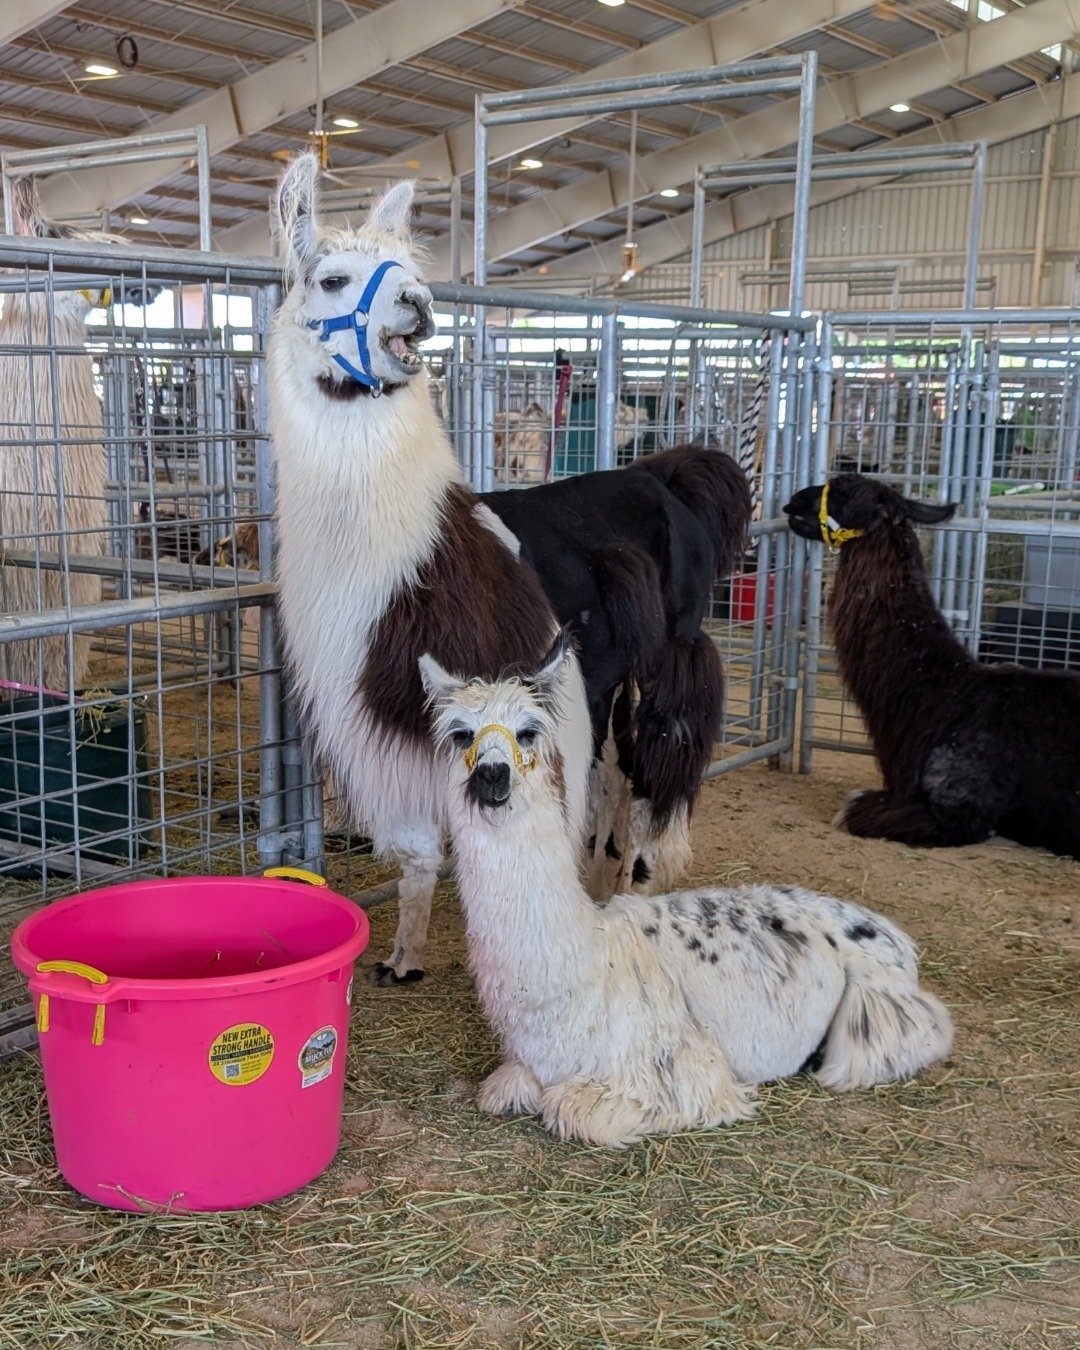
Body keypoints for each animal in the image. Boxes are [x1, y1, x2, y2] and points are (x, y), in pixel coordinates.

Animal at [419, 634, 953, 1148]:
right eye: (461, 734)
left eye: (528, 731)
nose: (491, 774)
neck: (583, 969)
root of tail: (892, 933)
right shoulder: (522, 1067)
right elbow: (506, 1088)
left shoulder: (681, 1072)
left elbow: (570, 1108)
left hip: (875, 1008)